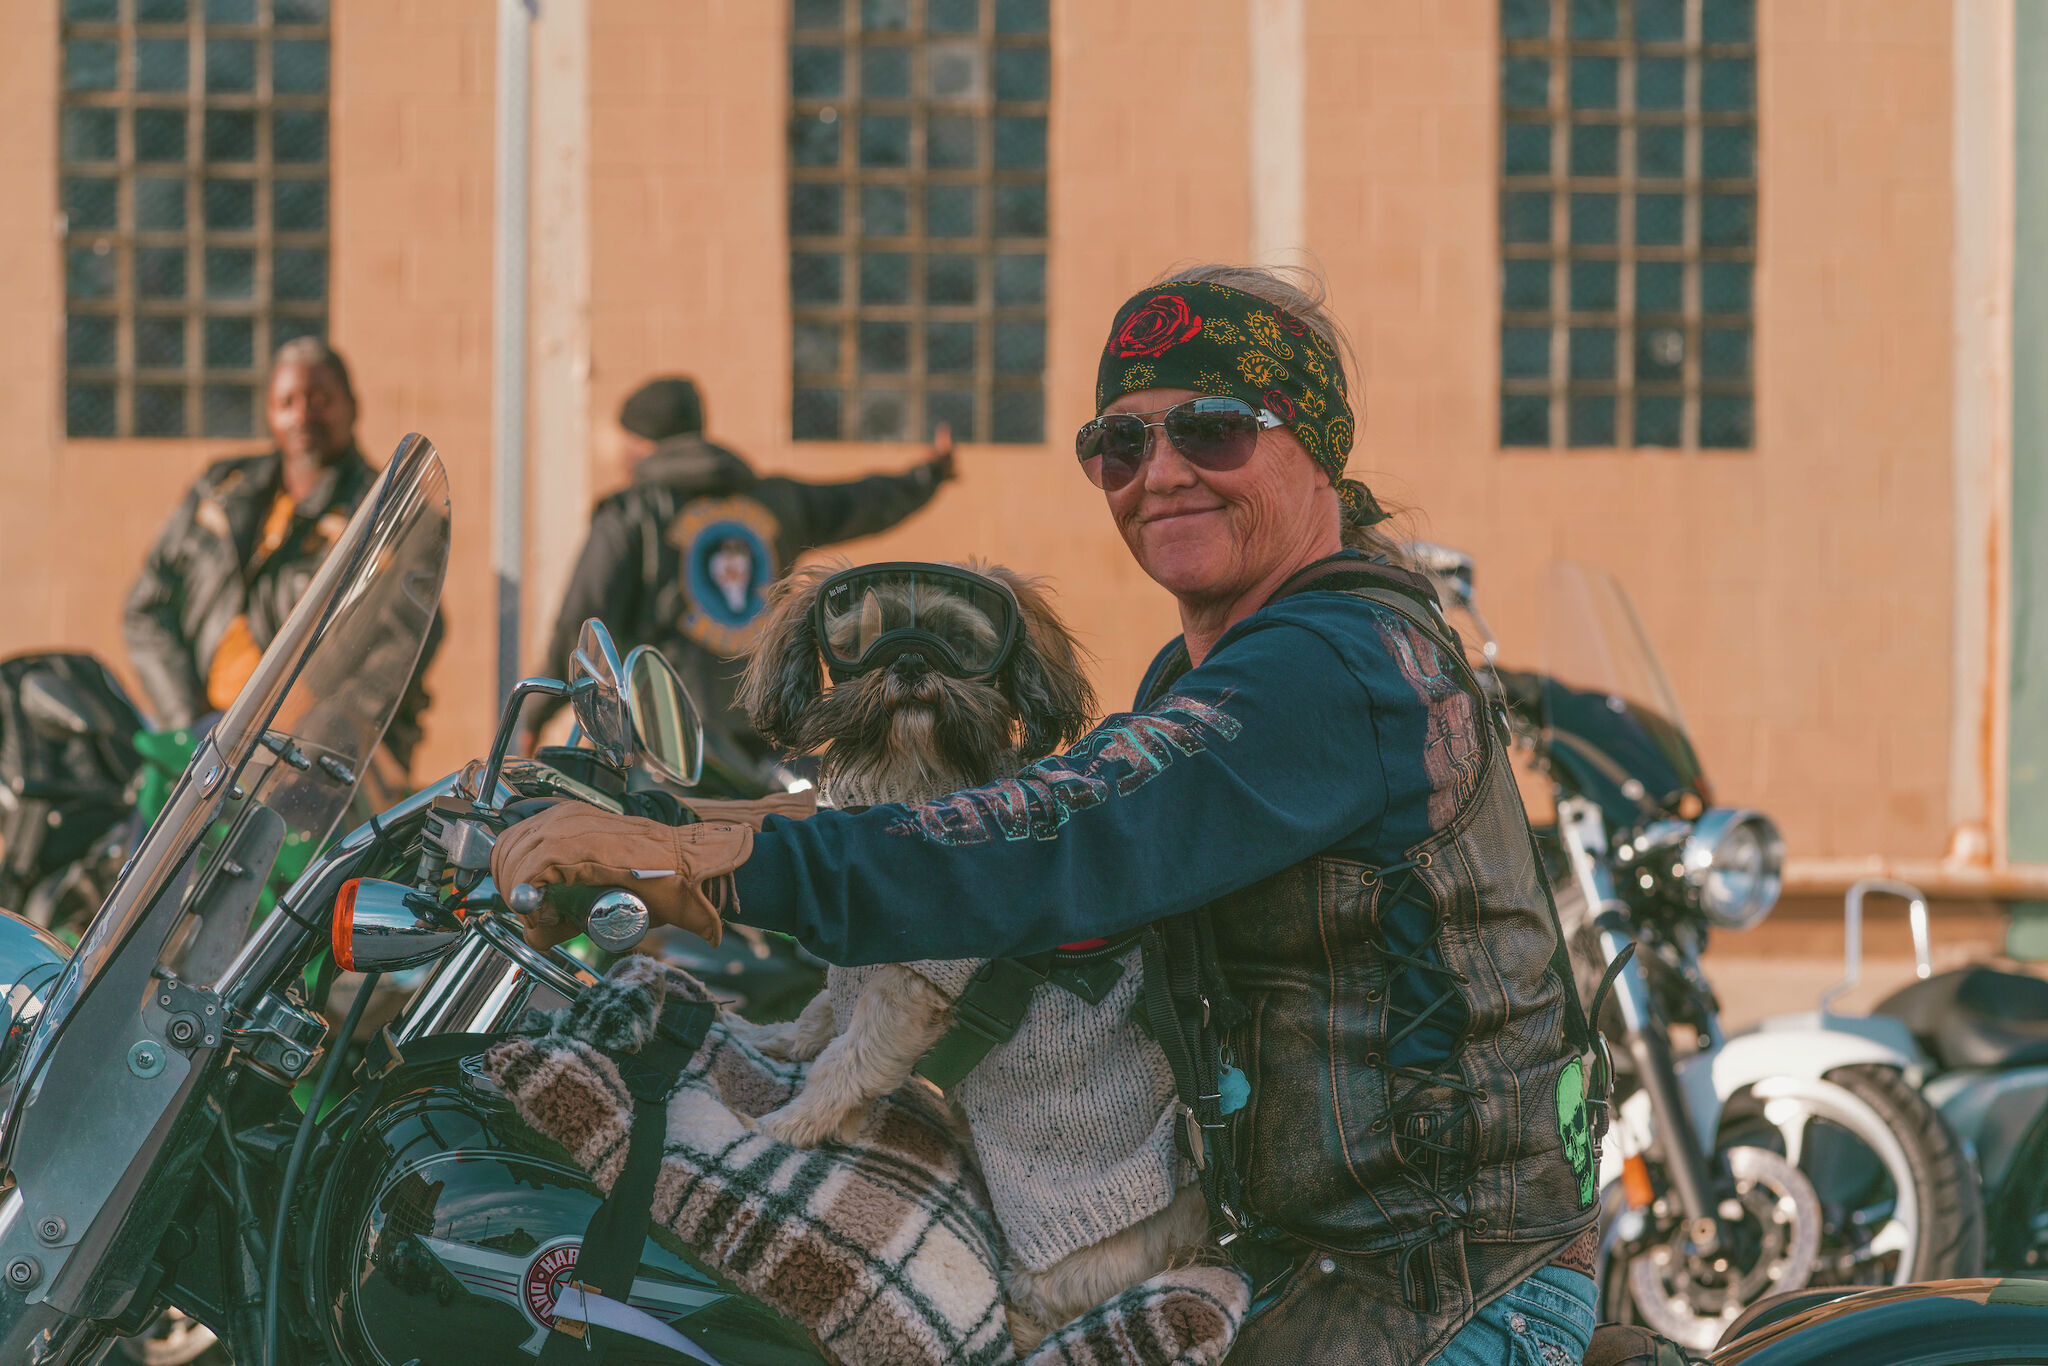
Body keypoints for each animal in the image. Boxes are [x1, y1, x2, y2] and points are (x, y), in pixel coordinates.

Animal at [733, 561, 1204, 1351]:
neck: (913, 780)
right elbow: (817, 1014)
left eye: (961, 642)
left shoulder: (907, 998)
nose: (910, 660)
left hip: (1055, 1260)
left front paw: (784, 1127)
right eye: (865, 635)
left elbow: (842, 1066)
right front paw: (769, 1037)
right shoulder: (855, 979)